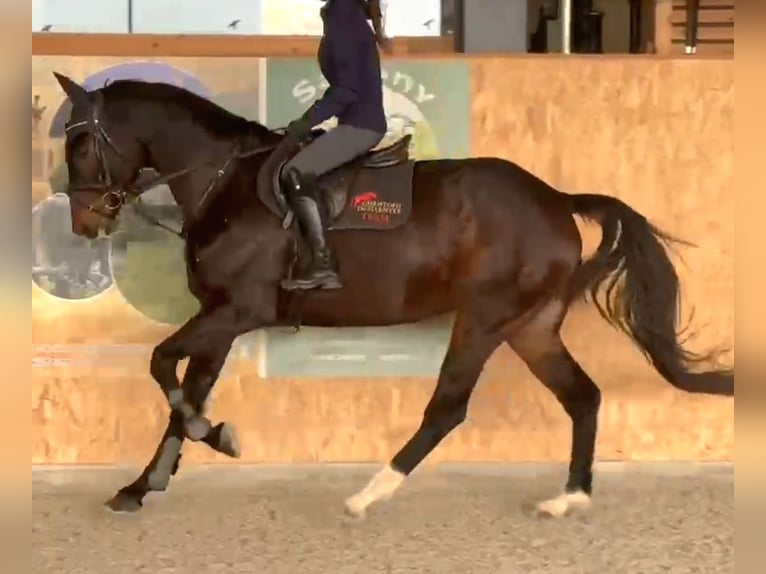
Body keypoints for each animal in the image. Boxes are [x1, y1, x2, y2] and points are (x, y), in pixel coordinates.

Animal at [51, 71, 733, 518]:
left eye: (80, 144)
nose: (84, 221)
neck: (225, 181)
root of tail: (556, 199)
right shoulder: (218, 318)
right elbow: (182, 395)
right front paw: (144, 485)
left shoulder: (236, 312)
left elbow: (161, 366)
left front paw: (218, 437)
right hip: (530, 325)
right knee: (583, 397)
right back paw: (569, 498)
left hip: (485, 318)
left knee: (448, 408)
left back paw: (368, 494)